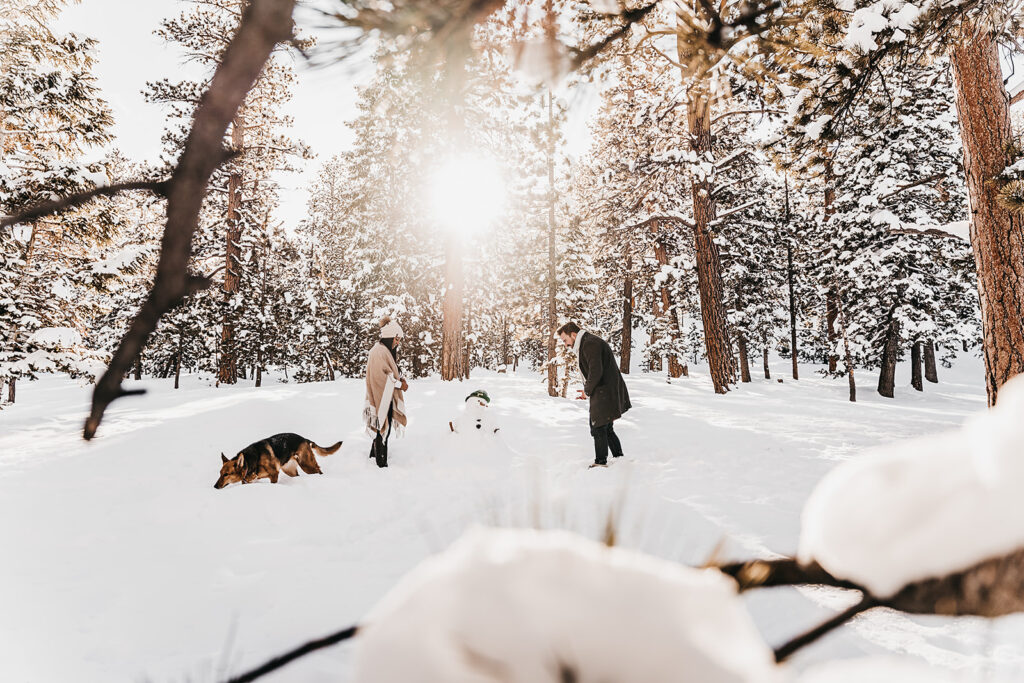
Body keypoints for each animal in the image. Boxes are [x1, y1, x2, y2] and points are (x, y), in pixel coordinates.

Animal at [215, 436, 344, 489]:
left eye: (226, 474)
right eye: (220, 473)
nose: (215, 486)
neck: (250, 461)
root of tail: (304, 439)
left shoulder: (273, 475)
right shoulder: (248, 481)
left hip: (307, 465)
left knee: (318, 470)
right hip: (290, 470)